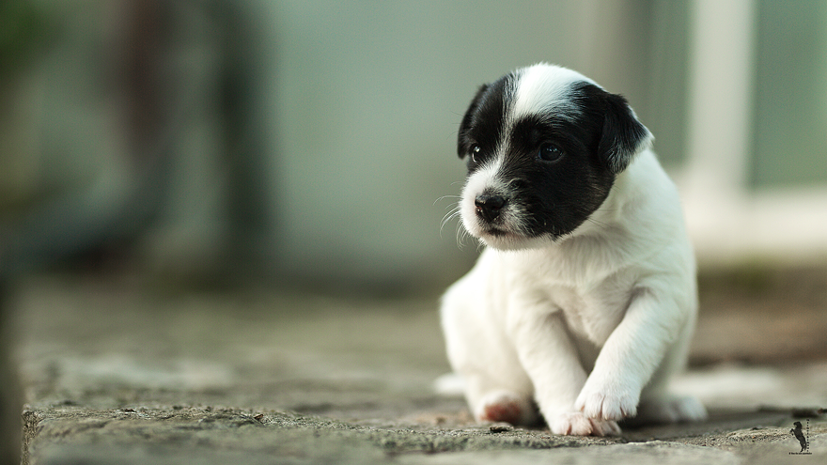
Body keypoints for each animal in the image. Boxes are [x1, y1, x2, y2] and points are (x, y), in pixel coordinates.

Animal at [444, 62, 708, 436]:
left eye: (550, 151)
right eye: (477, 151)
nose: (484, 203)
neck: (583, 237)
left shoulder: (658, 292)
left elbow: (629, 340)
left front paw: (606, 393)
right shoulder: (535, 313)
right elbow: (557, 367)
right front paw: (574, 414)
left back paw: (667, 403)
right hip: (465, 330)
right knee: (480, 382)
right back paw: (502, 404)